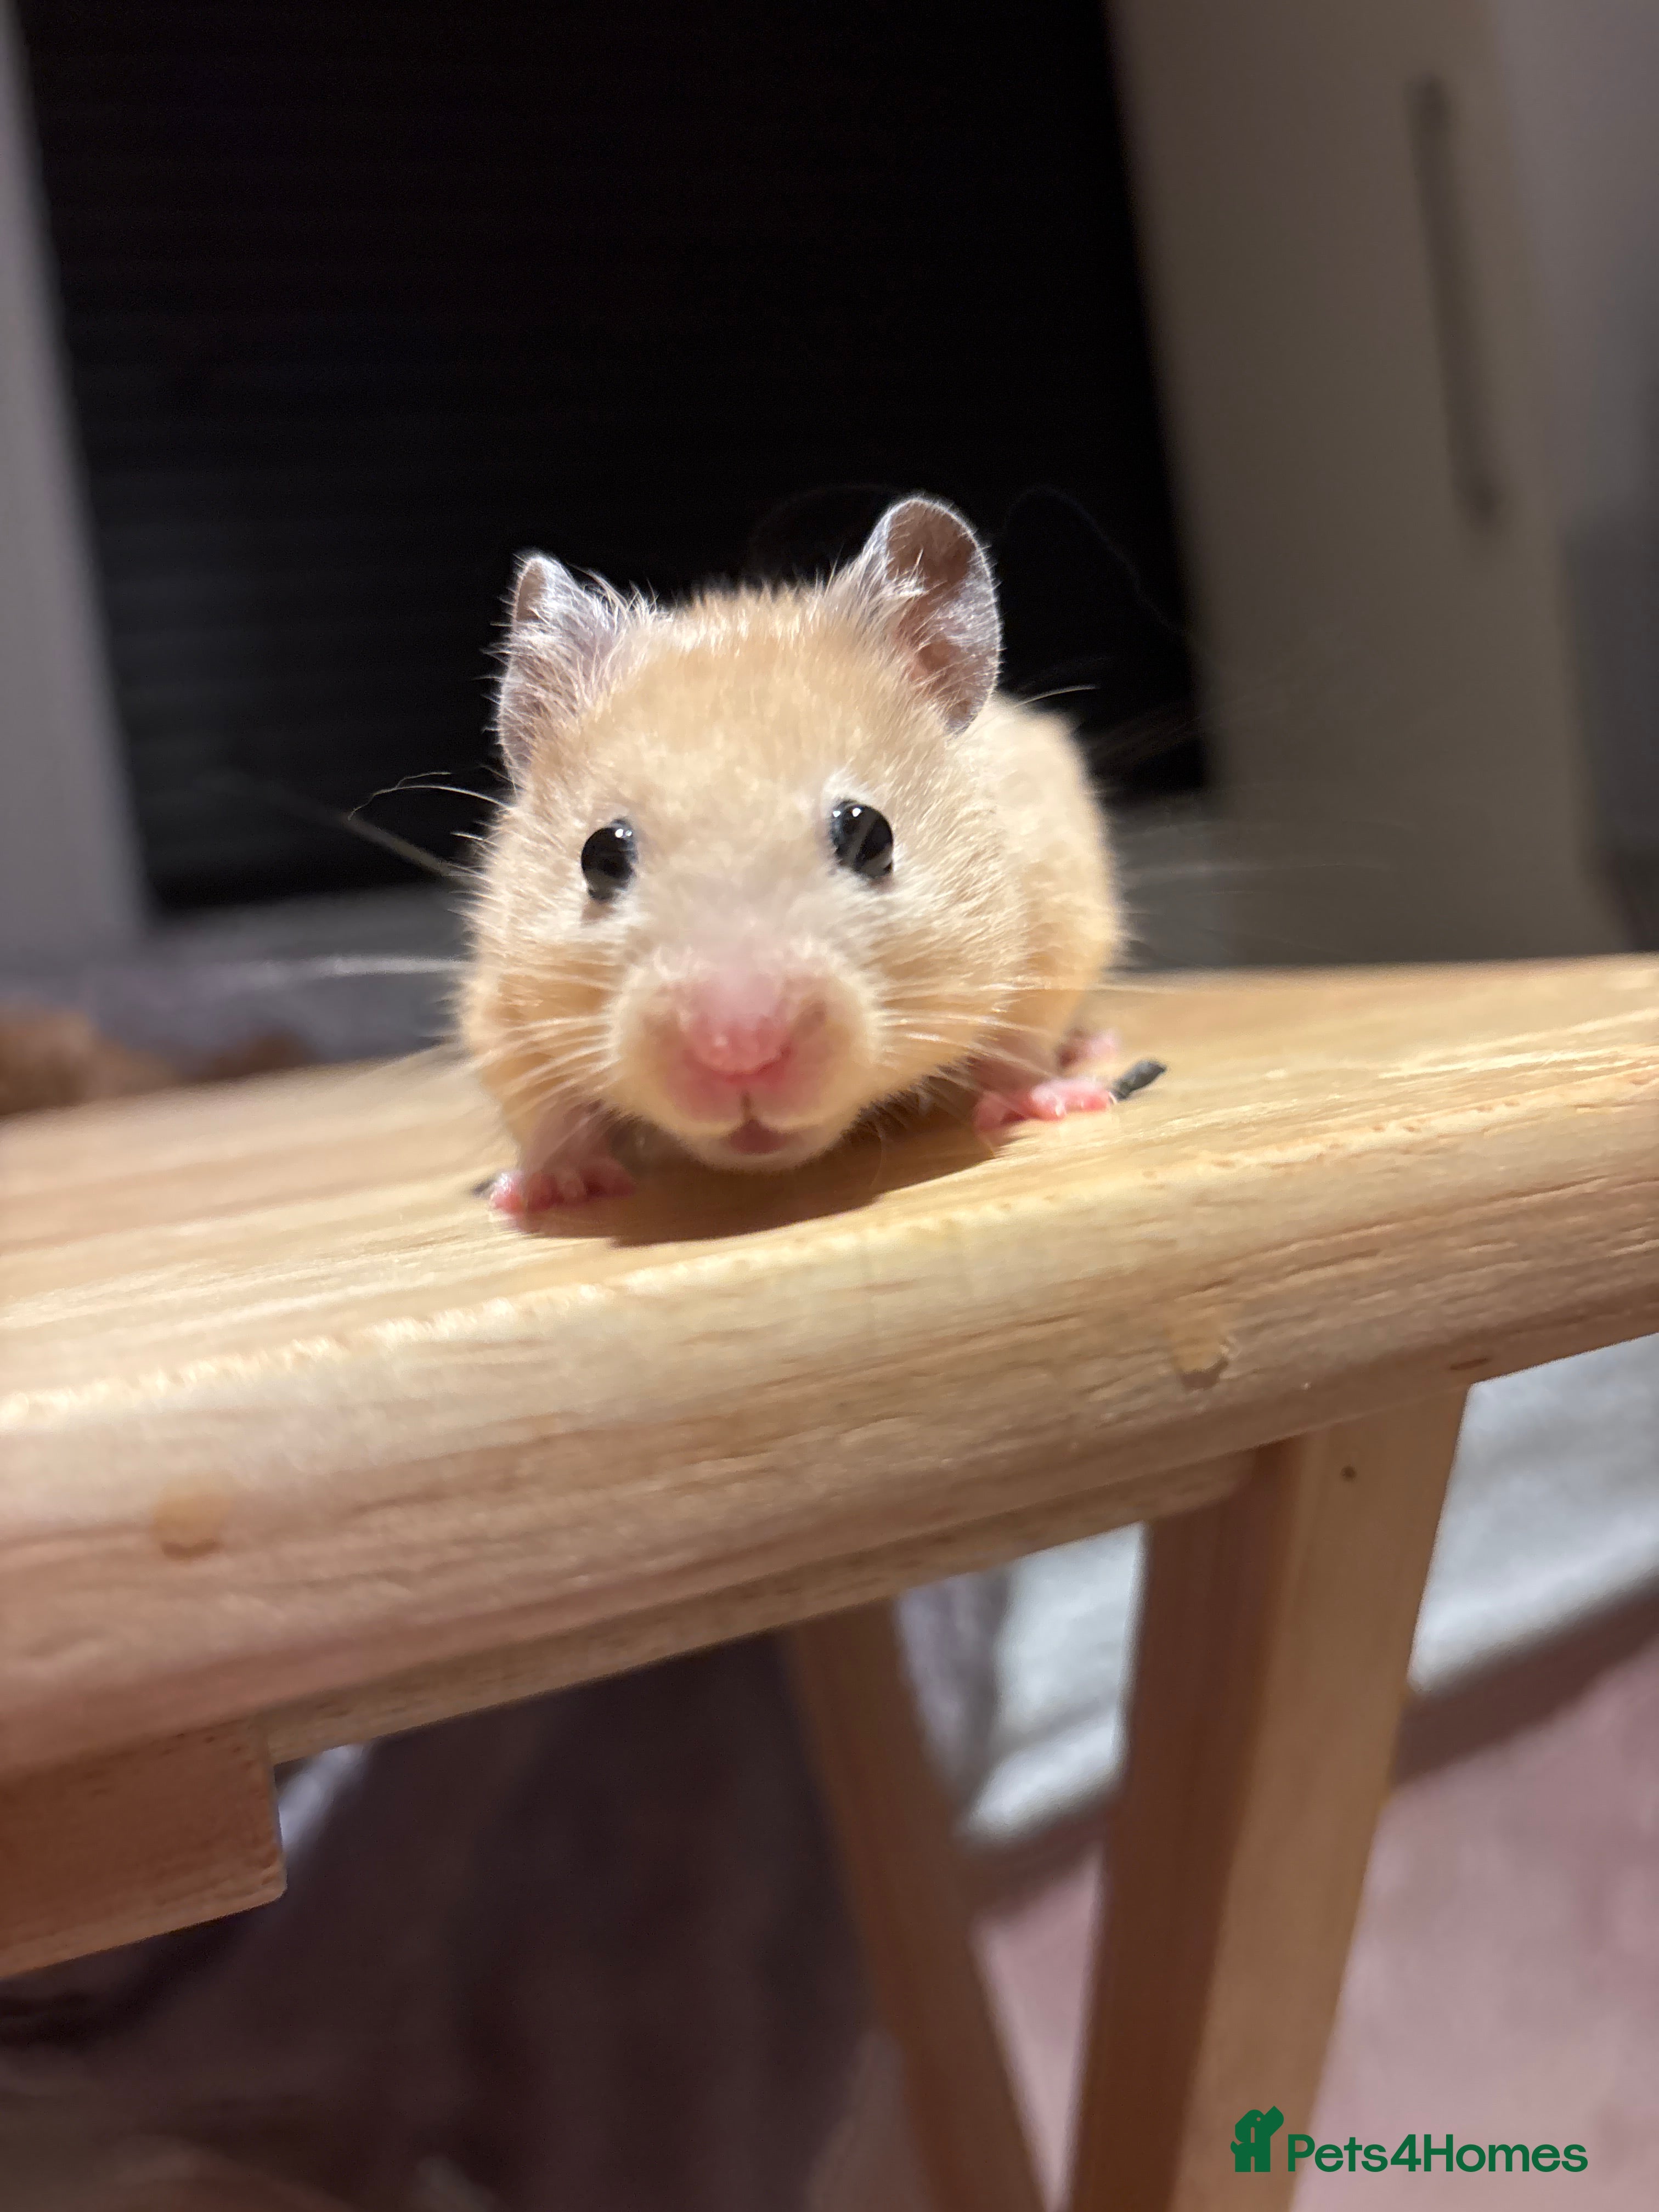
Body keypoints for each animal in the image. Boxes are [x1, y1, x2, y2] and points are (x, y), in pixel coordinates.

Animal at [460, 495, 1123, 1213]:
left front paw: (1055, 1103)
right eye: (599, 857)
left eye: (873, 836)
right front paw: (547, 1193)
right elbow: (543, 1107)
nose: (738, 1051)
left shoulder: (1059, 912)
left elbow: (1022, 1039)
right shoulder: (495, 1001)